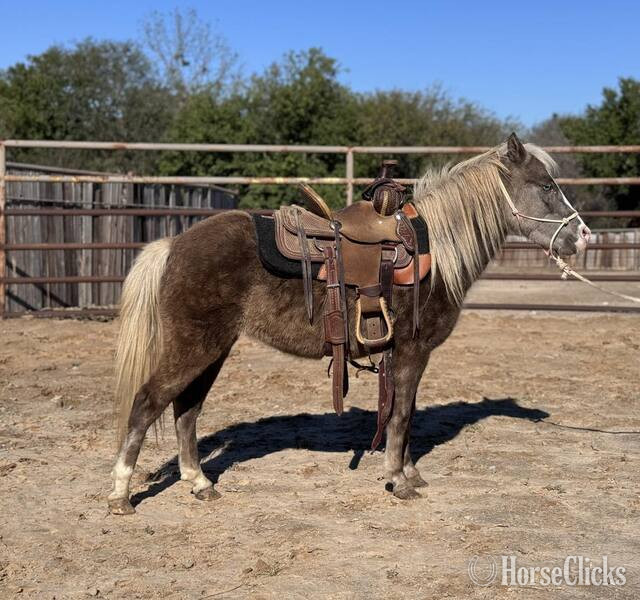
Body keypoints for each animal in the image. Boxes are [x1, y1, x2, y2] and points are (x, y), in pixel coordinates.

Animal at [107, 133, 591, 515]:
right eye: (546, 185)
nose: (584, 237)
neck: (434, 248)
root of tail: (173, 244)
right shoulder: (412, 352)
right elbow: (400, 417)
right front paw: (398, 481)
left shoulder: (404, 357)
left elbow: (404, 416)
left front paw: (408, 472)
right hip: (195, 347)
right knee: (147, 403)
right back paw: (120, 495)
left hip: (213, 350)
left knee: (186, 410)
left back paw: (199, 483)